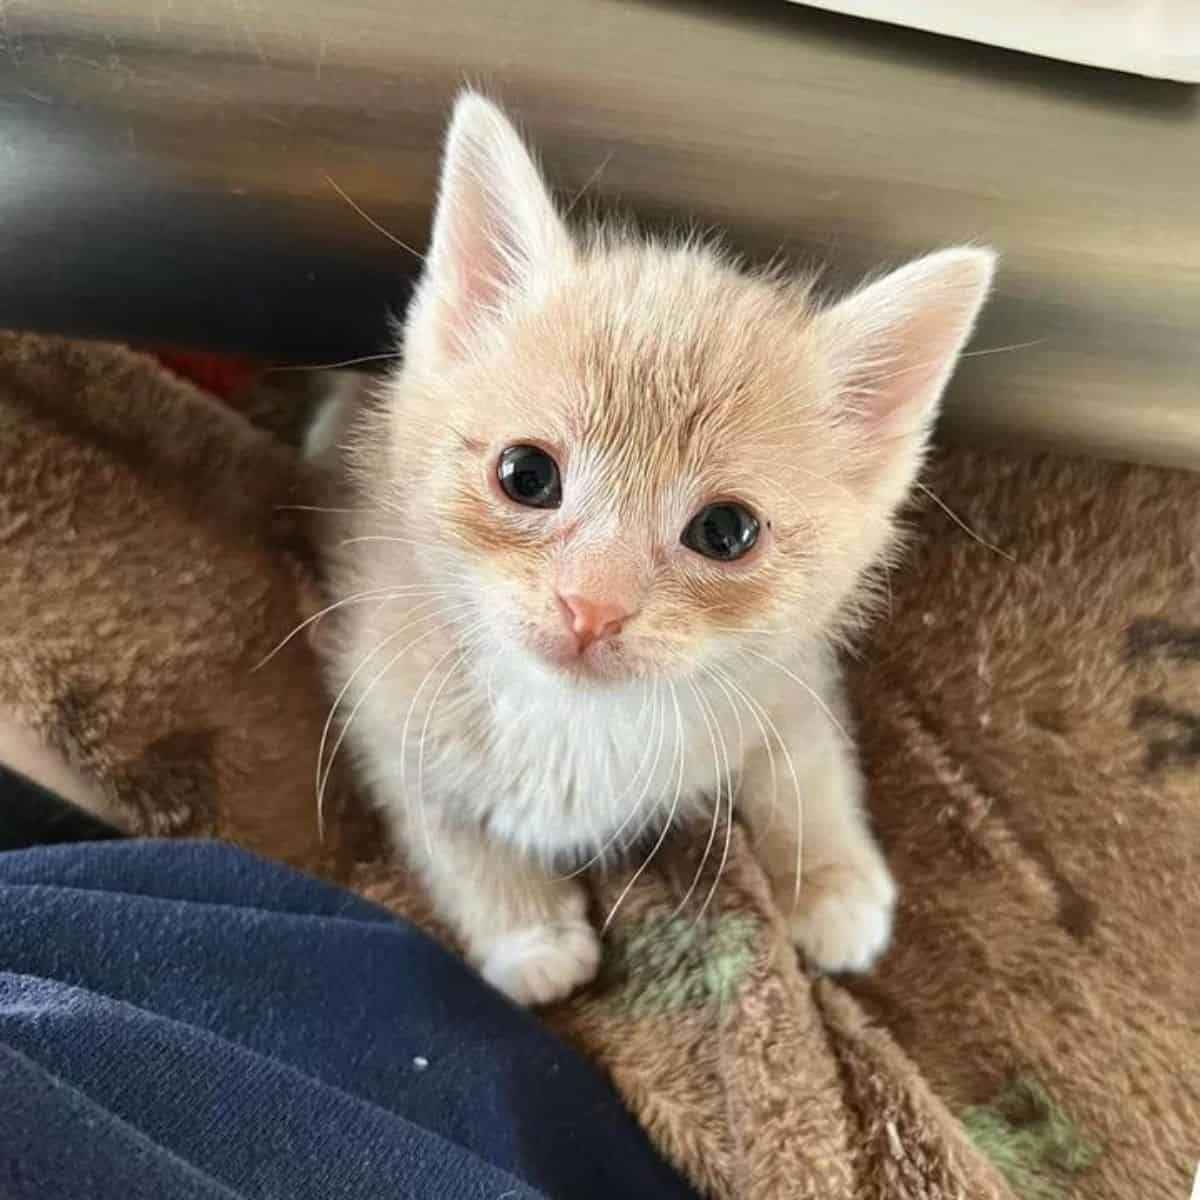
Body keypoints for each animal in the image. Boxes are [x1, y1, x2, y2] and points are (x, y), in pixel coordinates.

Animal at [312, 91, 993, 1003]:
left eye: (725, 530)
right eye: (526, 474)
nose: (591, 607)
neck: (575, 722)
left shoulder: (784, 672)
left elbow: (808, 760)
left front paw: (832, 879)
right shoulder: (384, 700)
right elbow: (447, 833)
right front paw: (527, 931)